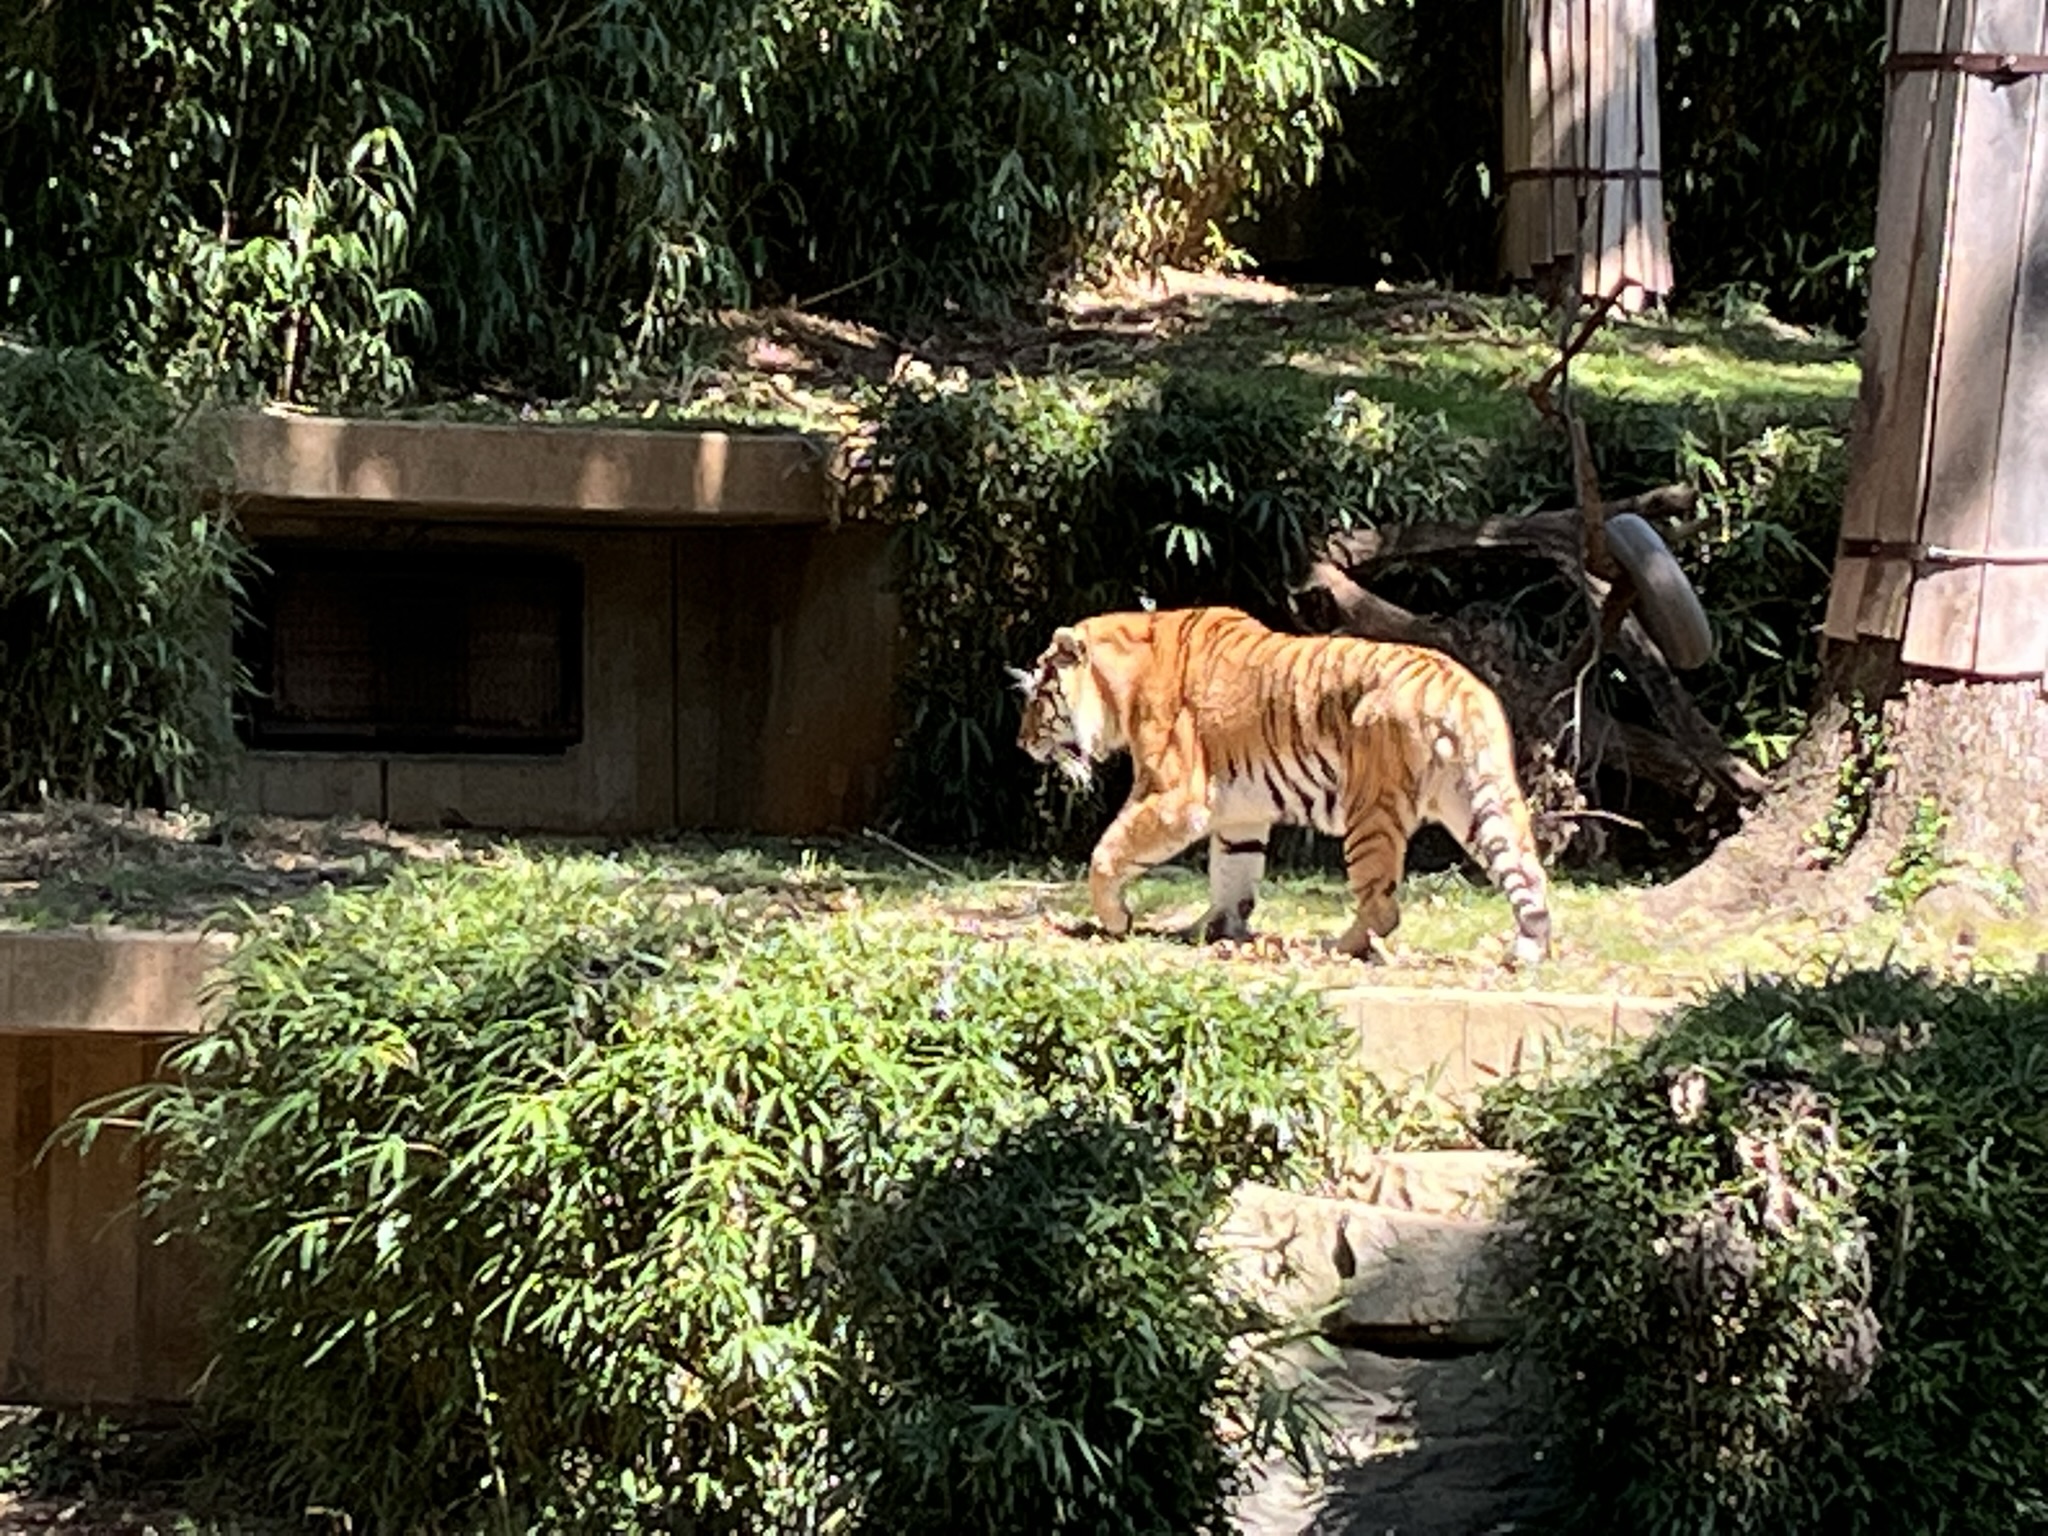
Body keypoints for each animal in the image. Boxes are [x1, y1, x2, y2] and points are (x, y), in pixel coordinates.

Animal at [1011, 606, 1552, 965]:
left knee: (1381, 906)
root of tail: (1457, 686)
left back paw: (1335, 947)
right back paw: (1527, 950)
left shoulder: (1175, 797)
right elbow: (1233, 874)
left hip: (1369, 811)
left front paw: (1116, 920)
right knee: (1526, 875)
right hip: (1483, 802)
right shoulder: (1241, 813)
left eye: (1039, 697)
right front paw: (1213, 930)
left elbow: (1107, 852)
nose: (1022, 743)